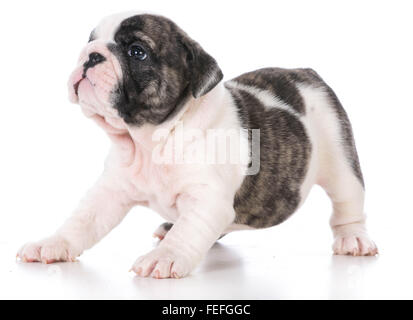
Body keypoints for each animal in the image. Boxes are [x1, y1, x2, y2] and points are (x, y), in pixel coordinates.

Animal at [16, 11, 376, 278]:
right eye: (91, 40)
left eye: (136, 51)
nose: (91, 55)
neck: (150, 140)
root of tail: (305, 73)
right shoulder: (109, 192)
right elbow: (82, 221)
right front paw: (52, 243)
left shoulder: (207, 199)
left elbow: (188, 231)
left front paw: (164, 257)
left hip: (339, 156)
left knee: (347, 203)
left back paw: (353, 239)